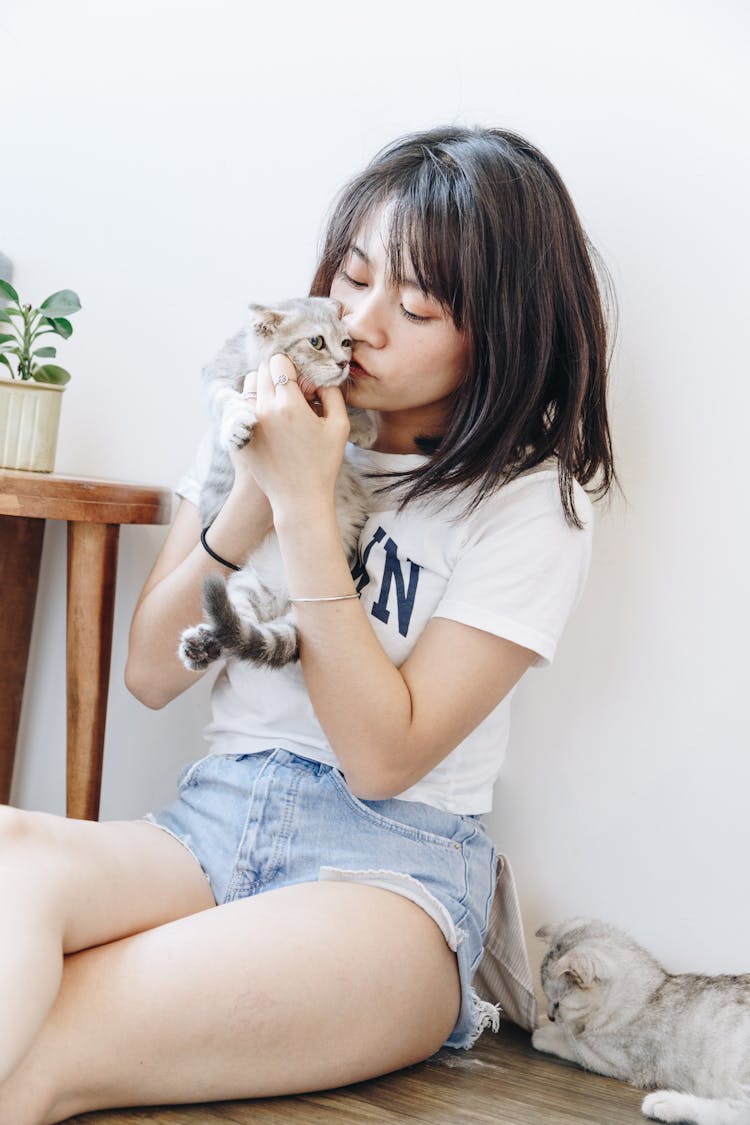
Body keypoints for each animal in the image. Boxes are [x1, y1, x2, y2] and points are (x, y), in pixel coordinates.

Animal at [178, 294, 373, 670]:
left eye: (346, 342)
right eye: (316, 342)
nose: (344, 363)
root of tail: (288, 598)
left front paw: (365, 425)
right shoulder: (217, 376)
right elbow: (227, 399)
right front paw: (237, 423)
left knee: (243, 633)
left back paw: (205, 645)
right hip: (249, 584)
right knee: (239, 625)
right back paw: (202, 645)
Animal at [532, 918, 750, 1120]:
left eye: (557, 1004)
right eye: (548, 1000)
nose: (551, 1016)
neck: (646, 997)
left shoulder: (613, 1059)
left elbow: (569, 1042)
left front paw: (542, 1034)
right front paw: (539, 1018)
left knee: (736, 1113)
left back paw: (665, 1103)